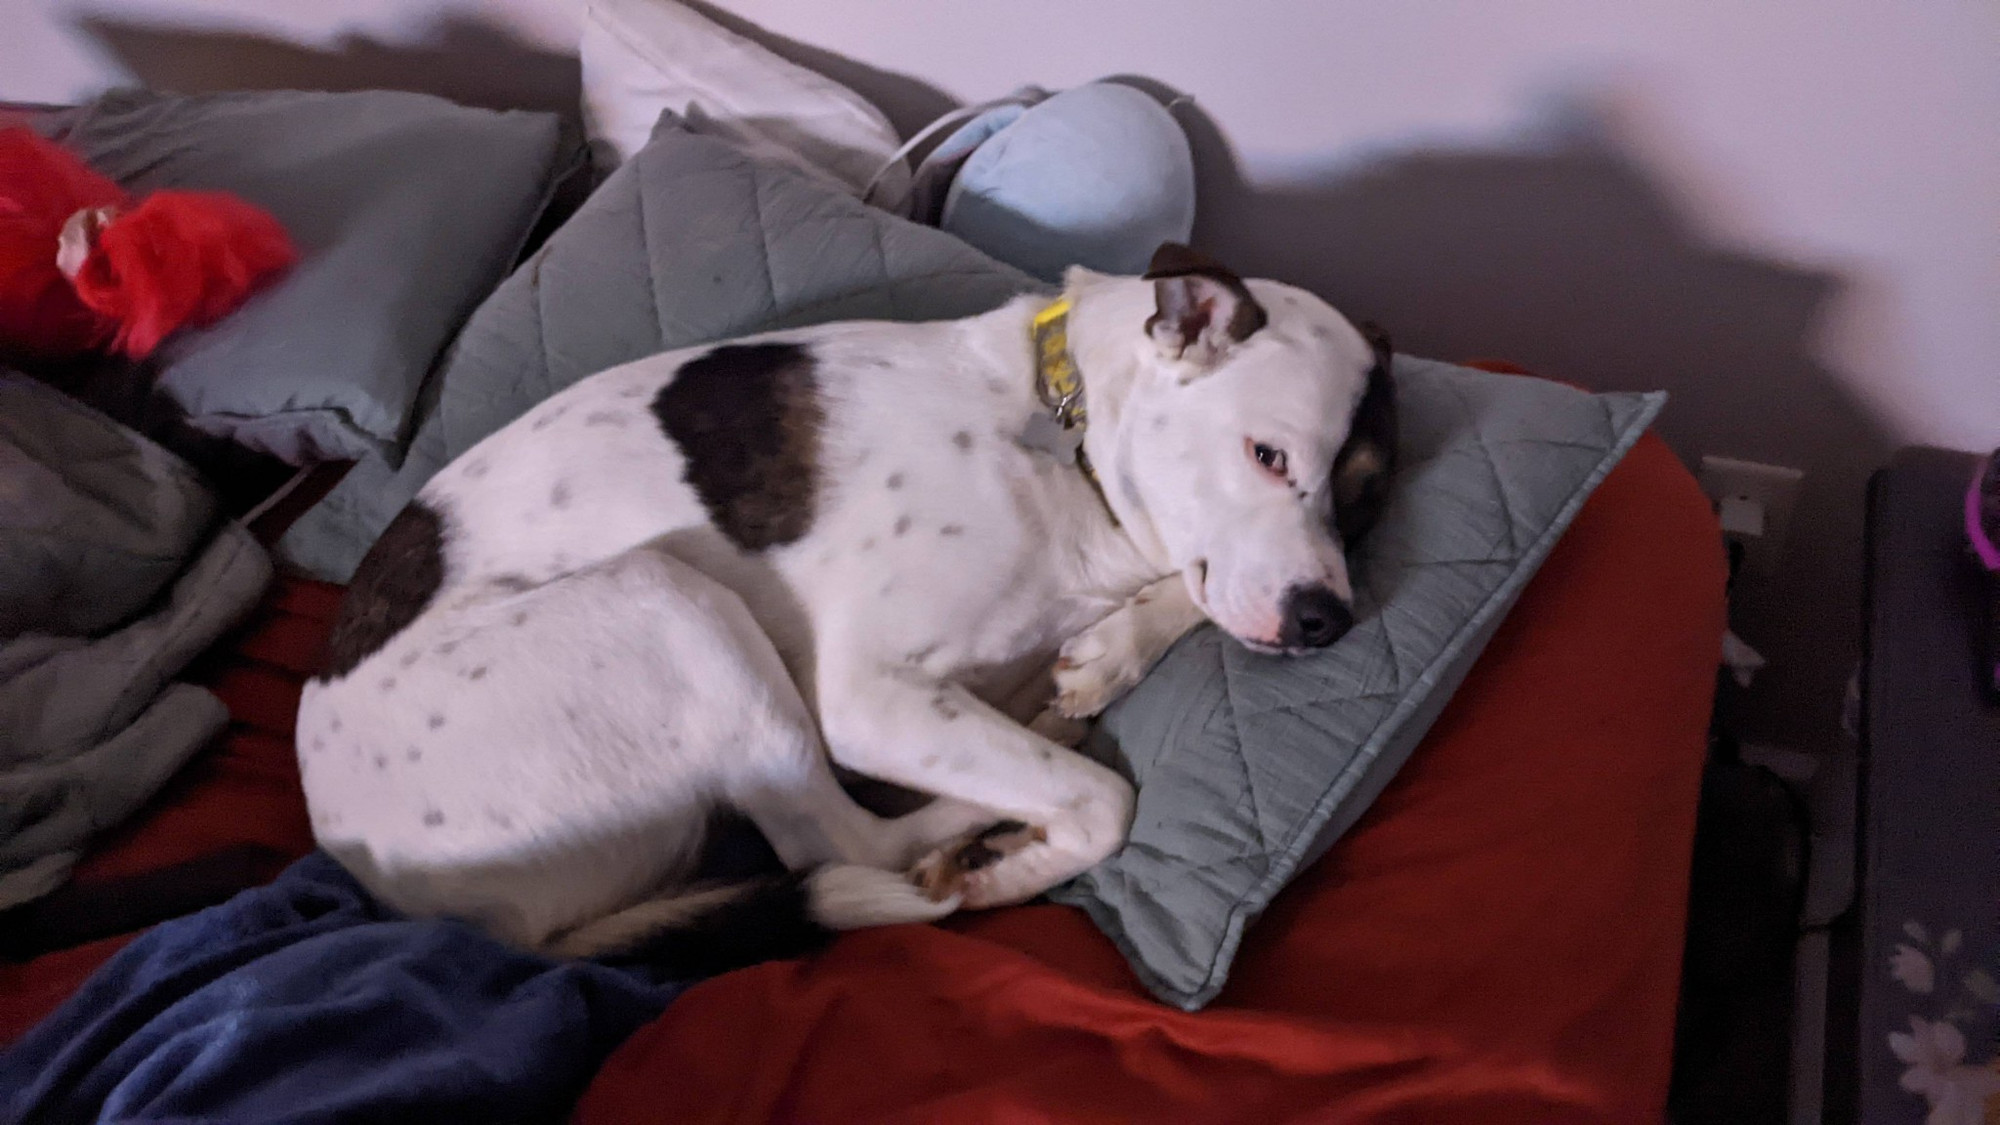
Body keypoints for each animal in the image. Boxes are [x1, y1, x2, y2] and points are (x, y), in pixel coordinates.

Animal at [296, 243, 1392, 964]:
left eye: (1363, 499)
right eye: (1268, 454)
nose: (1326, 624)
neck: (1063, 437)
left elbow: (1188, 598)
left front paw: (1112, 651)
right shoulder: (872, 698)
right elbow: (1102, 804)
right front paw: (1014, 867)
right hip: (669, 600)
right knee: (841, 841)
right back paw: (972, 825)